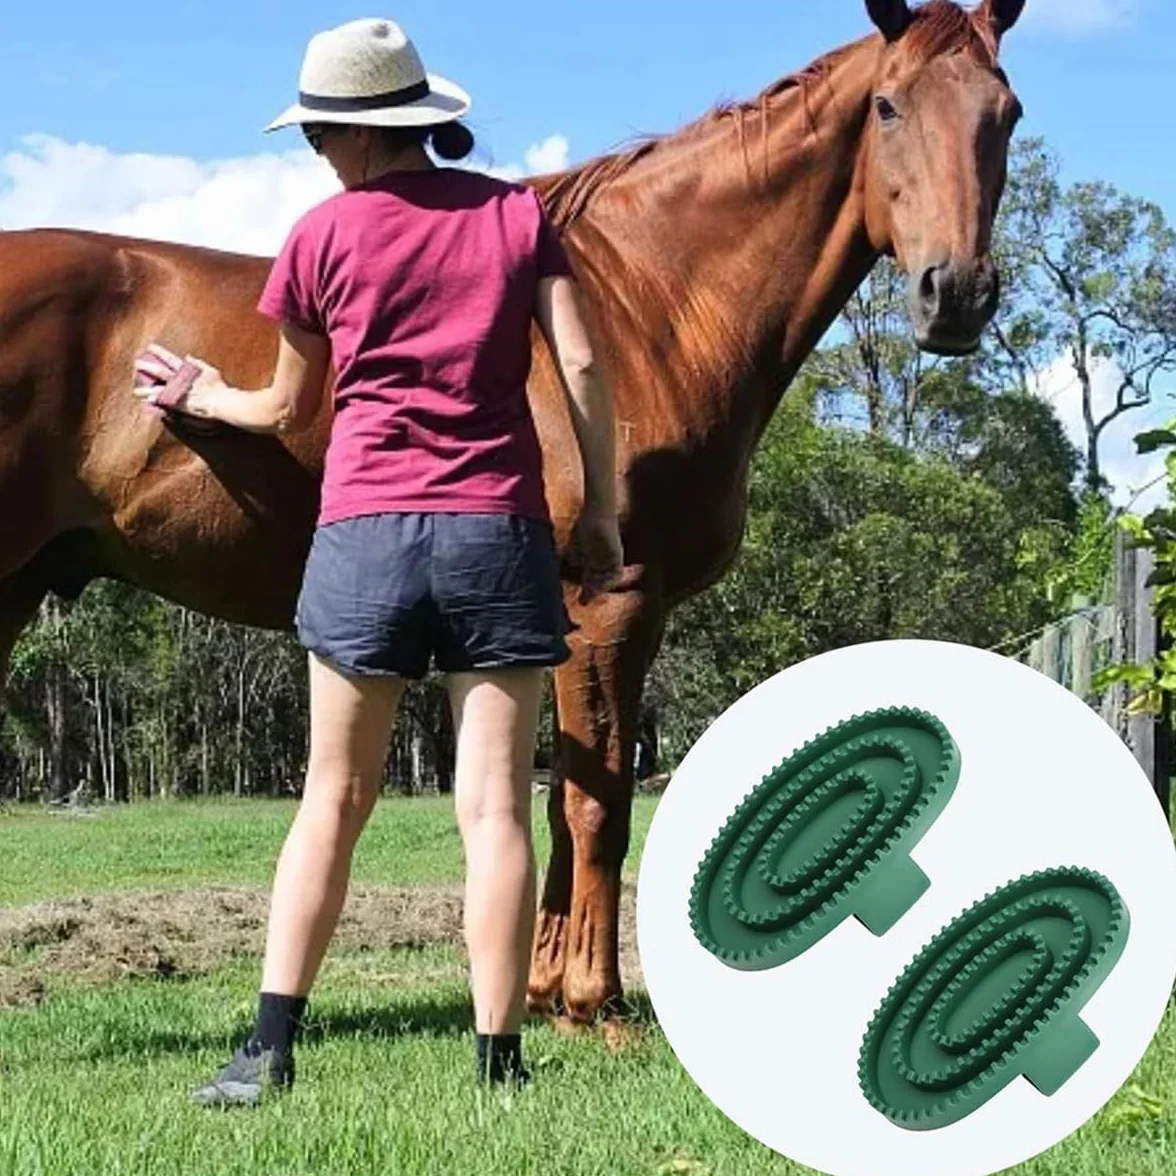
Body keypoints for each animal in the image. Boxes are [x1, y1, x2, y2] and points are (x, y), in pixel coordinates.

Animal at [0, 0, 1027, 1025]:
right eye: (888, 105)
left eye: (1006, 113)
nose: (955, 294)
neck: (651, 306)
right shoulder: (610, 604)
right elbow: (598, 802)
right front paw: (596, 1001)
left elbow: (562, 799)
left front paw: (541, 990)